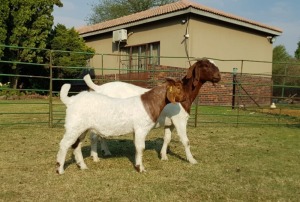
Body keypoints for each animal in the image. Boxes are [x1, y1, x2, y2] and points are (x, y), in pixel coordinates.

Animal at [56, 77, 185, 174]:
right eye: (178, 88)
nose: (185, 98)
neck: (149, 103)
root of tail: (71, 100)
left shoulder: (136, 131)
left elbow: (137, 147)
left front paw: (137, 165)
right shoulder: (141, 129)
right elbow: (141, 147)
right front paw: (141, 169)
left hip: (81, 128)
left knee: (76, 145)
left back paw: (82, 166)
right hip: (73, 126)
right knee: (64, 144)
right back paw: (60, 169)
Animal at [84, 58, 220, 164]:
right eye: (206, 65)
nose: (218, 76)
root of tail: (98, 88)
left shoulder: (169, 123)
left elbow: (167, 138)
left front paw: (163, 156)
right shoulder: (180, 120)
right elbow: (186, 141)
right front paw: (192, 160)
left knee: (101, 135)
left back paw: (106, 151)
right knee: (94, 136)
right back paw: (95, 156)